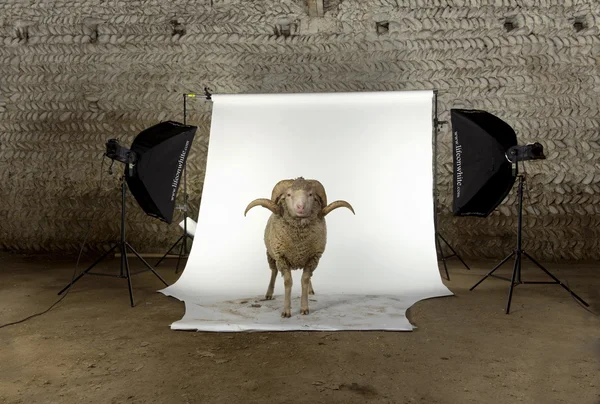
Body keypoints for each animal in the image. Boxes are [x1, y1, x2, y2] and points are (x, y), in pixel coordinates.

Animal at [243, 177, 354, 318]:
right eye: (288, 195)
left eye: (311, 194)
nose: (300, 207)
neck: (299, 242)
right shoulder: (281, 257)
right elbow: (288, 282)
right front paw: (286, 311)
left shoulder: (313, 257)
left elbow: (305, 280)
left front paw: (304, 308)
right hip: (270, 254)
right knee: (273, 272)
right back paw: (268, 293)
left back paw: (310, 290)